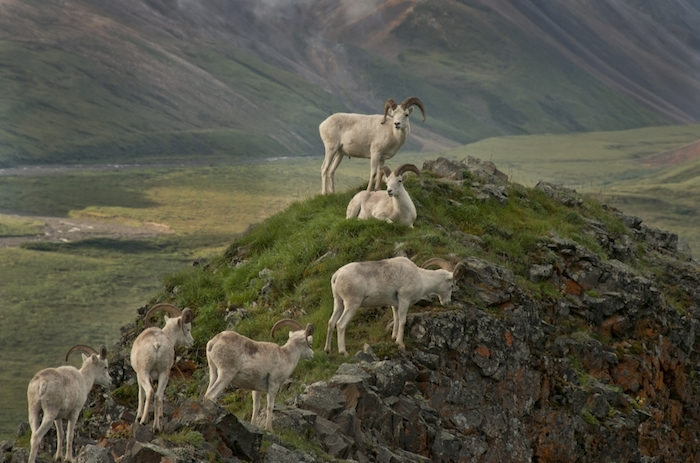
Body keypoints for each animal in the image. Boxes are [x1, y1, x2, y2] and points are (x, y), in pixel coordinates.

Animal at [130, 303, 194, 432]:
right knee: (158, 396)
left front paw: (138, 417)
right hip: (164, 374)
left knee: (150, 392)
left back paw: (143, 421)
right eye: (188, 329)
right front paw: (160, 415)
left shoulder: (139, 376)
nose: (192, 342)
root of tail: (156, 344)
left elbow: (141, 395)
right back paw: (156, 427)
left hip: (144, 373)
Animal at [324, 257, 466, 356]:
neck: (421, 279)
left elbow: (396, 320)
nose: (447, 302)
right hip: (352, 304)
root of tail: (336, 276)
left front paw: (393, 338)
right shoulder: (404, 300)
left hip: (338, 303)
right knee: (340, 324)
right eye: (452, 285)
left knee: (331, 322)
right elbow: (402, 321)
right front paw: (400, 344)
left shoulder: (395, 305)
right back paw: (343, 352)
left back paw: (327, 350)